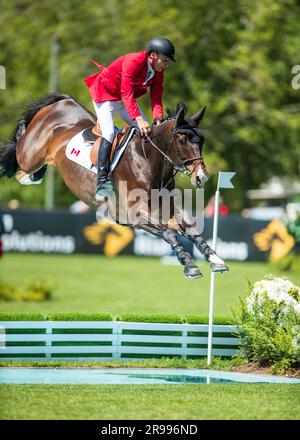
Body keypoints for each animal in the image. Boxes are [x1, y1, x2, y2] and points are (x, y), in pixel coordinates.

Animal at [0, 92, 229, 278]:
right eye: (182, 141)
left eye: (202, 141)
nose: (202, 177)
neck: (147, 161)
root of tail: (63, 102)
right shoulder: (137, 215)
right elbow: (169, 233)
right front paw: (190, 266)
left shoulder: (168, 211)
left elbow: (190, 230)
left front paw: (216, 259)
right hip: (29, 155)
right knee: (19, 150)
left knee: (27, 172)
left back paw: (36, 174)